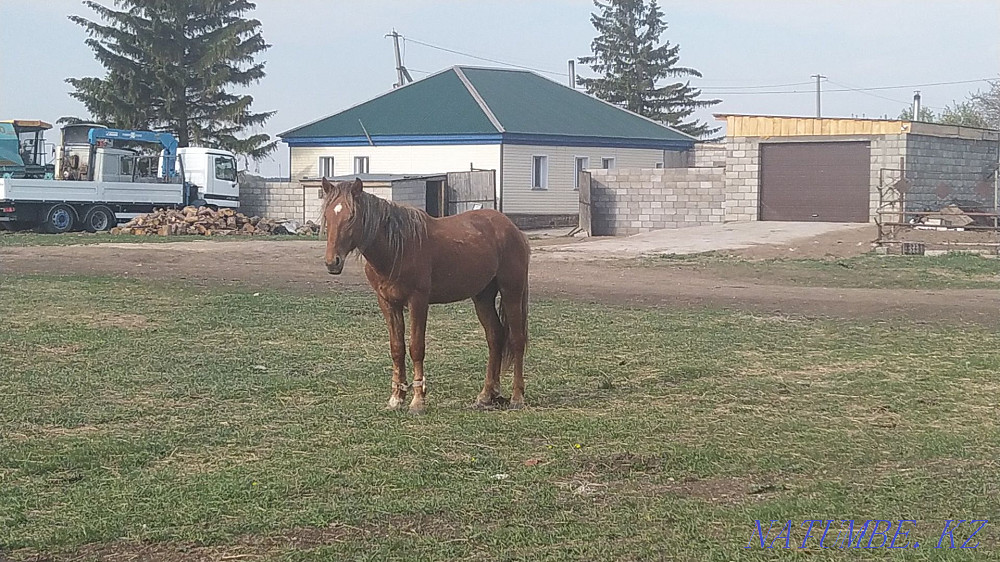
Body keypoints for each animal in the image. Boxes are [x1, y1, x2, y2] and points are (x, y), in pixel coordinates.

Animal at [320, 177, 530, 414]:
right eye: (327, 215)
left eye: (351, 216)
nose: (332, 262)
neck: (397, 248)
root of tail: (513, 229)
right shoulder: (388, 303)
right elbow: (397, 348)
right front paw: (396, 398)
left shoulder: (418, 301)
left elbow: (416, 348)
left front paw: (418, 401)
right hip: (482, 297)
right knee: (495, 337)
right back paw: (486, 395)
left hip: (512, 291)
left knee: (517, 339)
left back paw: (517, 397)